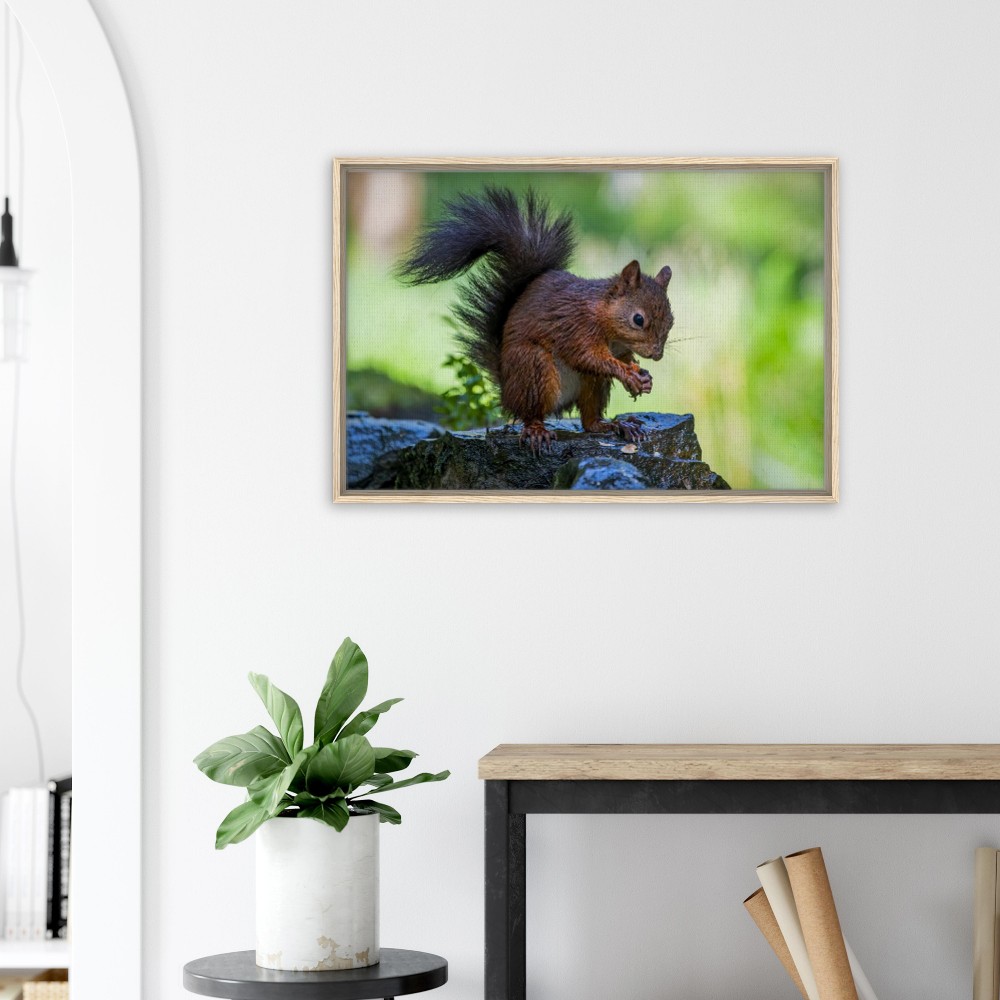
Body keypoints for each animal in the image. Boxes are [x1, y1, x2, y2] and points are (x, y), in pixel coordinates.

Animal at [398, 186, 673, 453]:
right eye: (638, 319)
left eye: (671, 320)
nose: (657, 354)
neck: (606, 320)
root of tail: (507, 390)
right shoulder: (576, 327)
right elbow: (589, 357)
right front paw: (628, 374)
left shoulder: (618, 347)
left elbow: (622, 358)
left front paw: (642, 376)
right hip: (533, 369)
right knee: (531, 413)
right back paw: (537, 430)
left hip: (592, 384)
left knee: (589, 420)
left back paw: (617, 425)